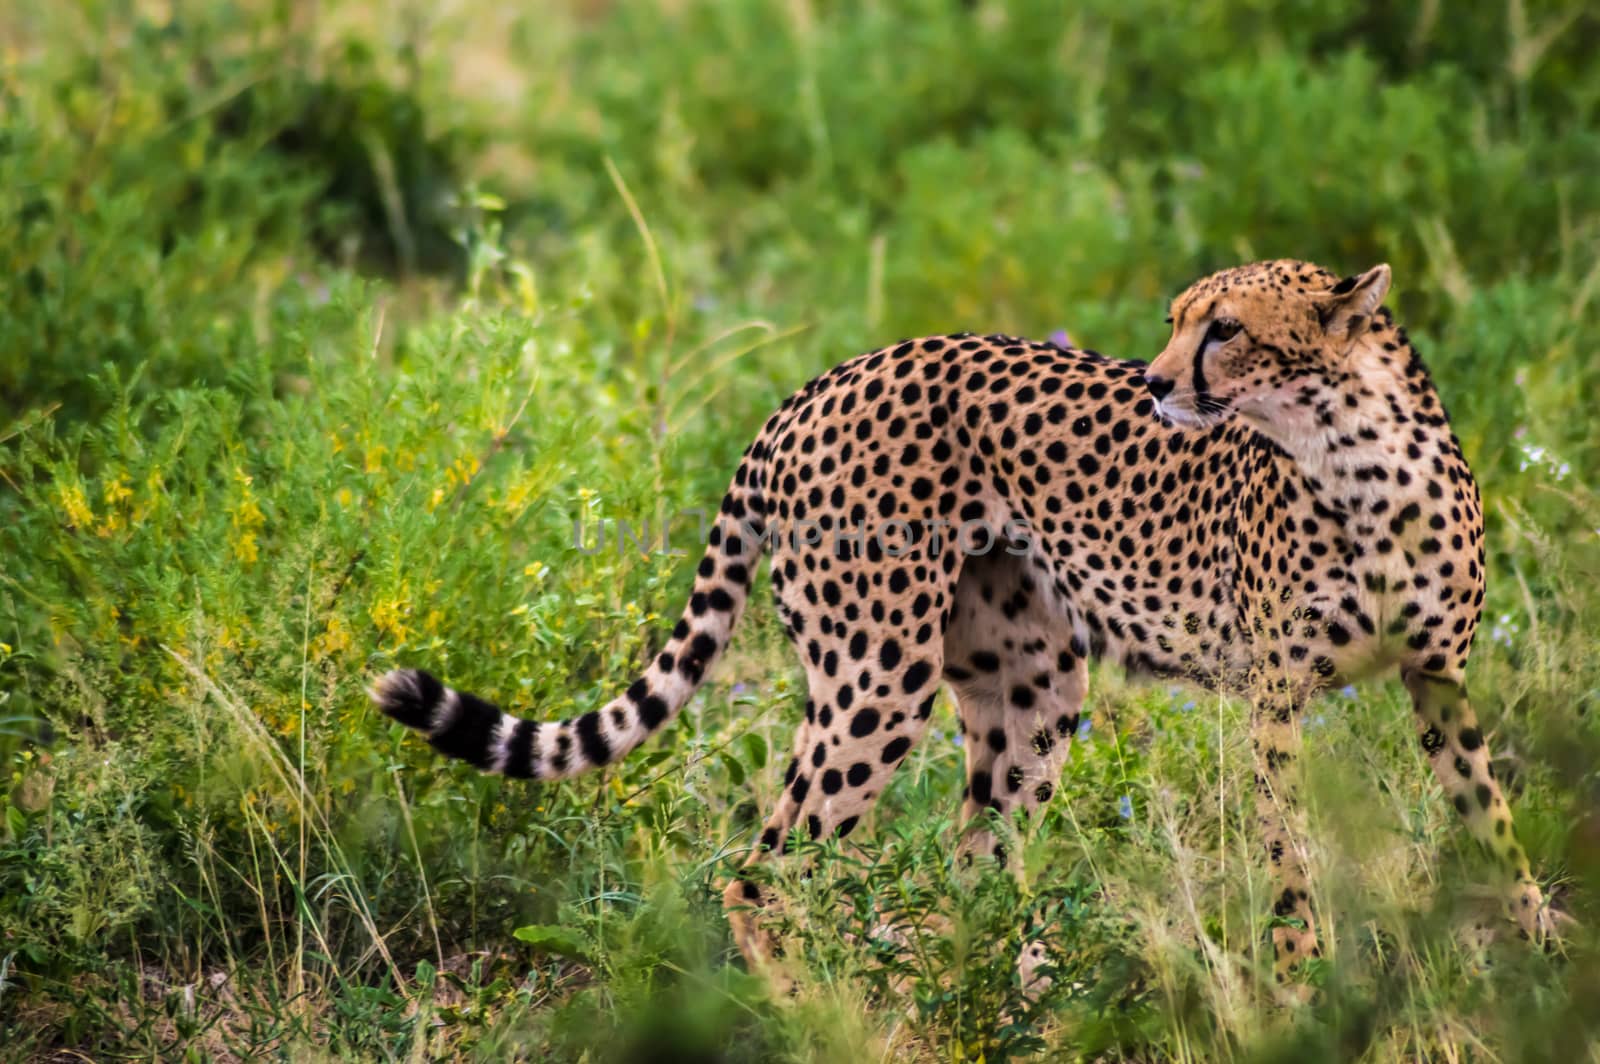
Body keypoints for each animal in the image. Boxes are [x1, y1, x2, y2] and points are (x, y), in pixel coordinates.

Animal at [371, 259, 1548, 985]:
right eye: (1177, 320)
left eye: (1224, 329)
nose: (1157, 383)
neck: (1354, 456)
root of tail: (814, 384)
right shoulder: (1274, 697)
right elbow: (1292, 848)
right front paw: (1304, 977)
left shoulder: (1436, 677)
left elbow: (1491, 817)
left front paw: (1539, 945)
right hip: (876, 669)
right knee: (762, 870)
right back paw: (823, 1013)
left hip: (1035, 685)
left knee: (974, 856)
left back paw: (1018, 993)